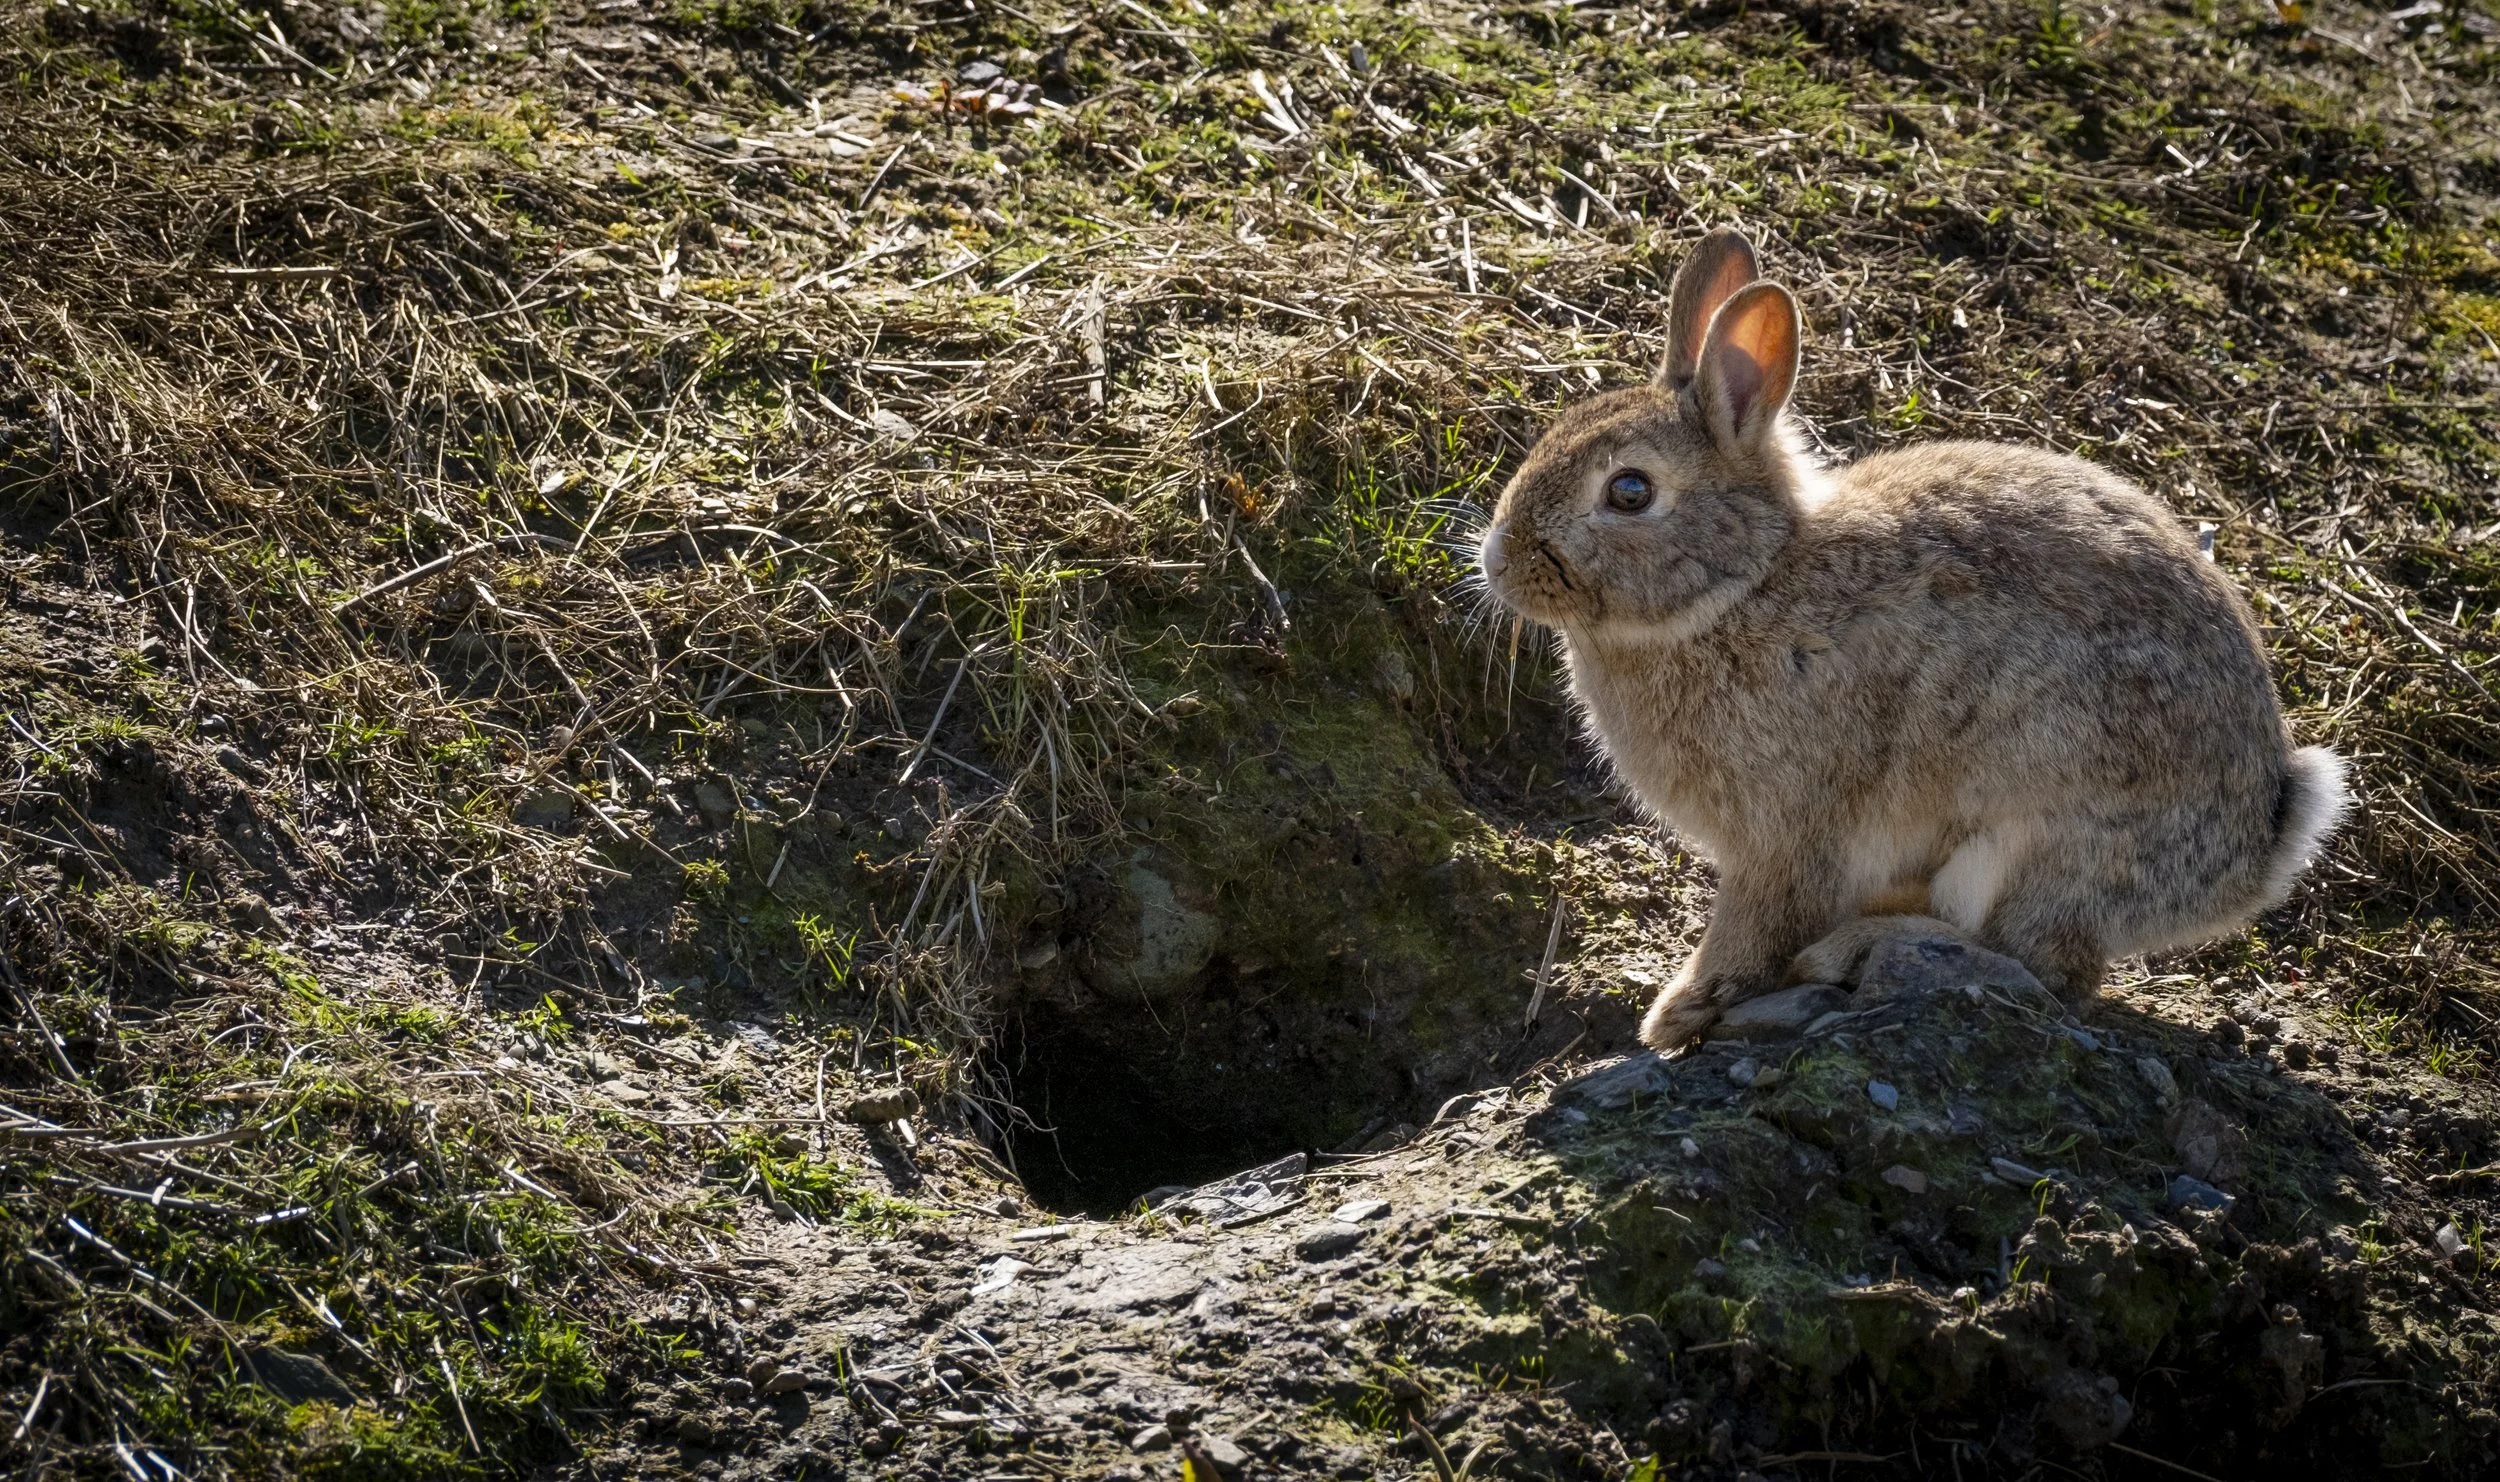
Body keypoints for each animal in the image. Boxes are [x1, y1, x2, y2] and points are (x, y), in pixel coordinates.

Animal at [1477, 227, 2349, 1049]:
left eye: (1629, 492)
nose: (1498, 561)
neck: (1746, 583)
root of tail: (2254, 850)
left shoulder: (1787, 832)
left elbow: (1753, 923)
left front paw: (1681, 1011)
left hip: (2033, 835)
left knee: (2043, 971)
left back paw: (1858, 950)